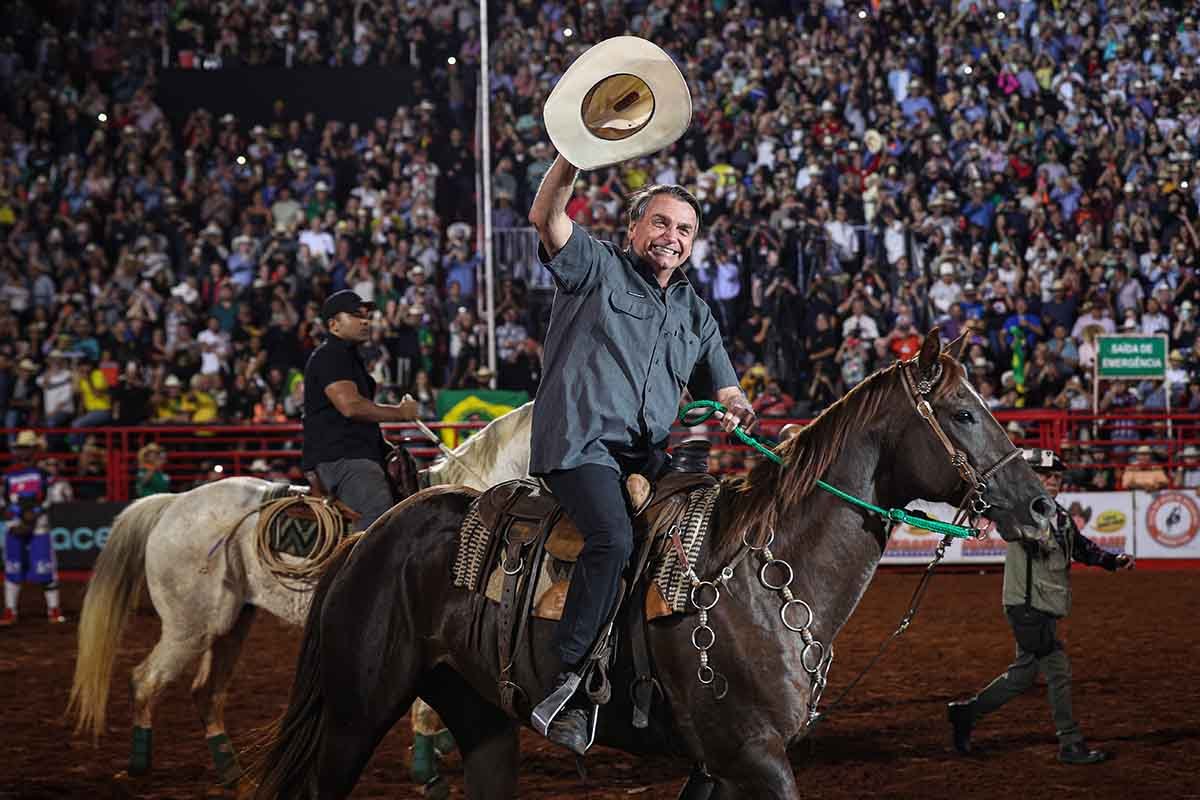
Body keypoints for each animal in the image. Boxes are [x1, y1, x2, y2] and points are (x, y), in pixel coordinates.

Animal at [69, 402, 530, 786]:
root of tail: (173, 503)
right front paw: (425, 763)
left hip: (232, 624)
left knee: (206, 692)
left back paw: (232, 771)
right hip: (191, 626)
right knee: (146, 680)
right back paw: (139, 764)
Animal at [250, 328, 1051, 796]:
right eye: (964, 413)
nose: (1044, 507)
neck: (761, 579)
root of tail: (373, 534)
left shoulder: (715, 767)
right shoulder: (753, 756)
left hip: (481, 718)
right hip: (354, 715)